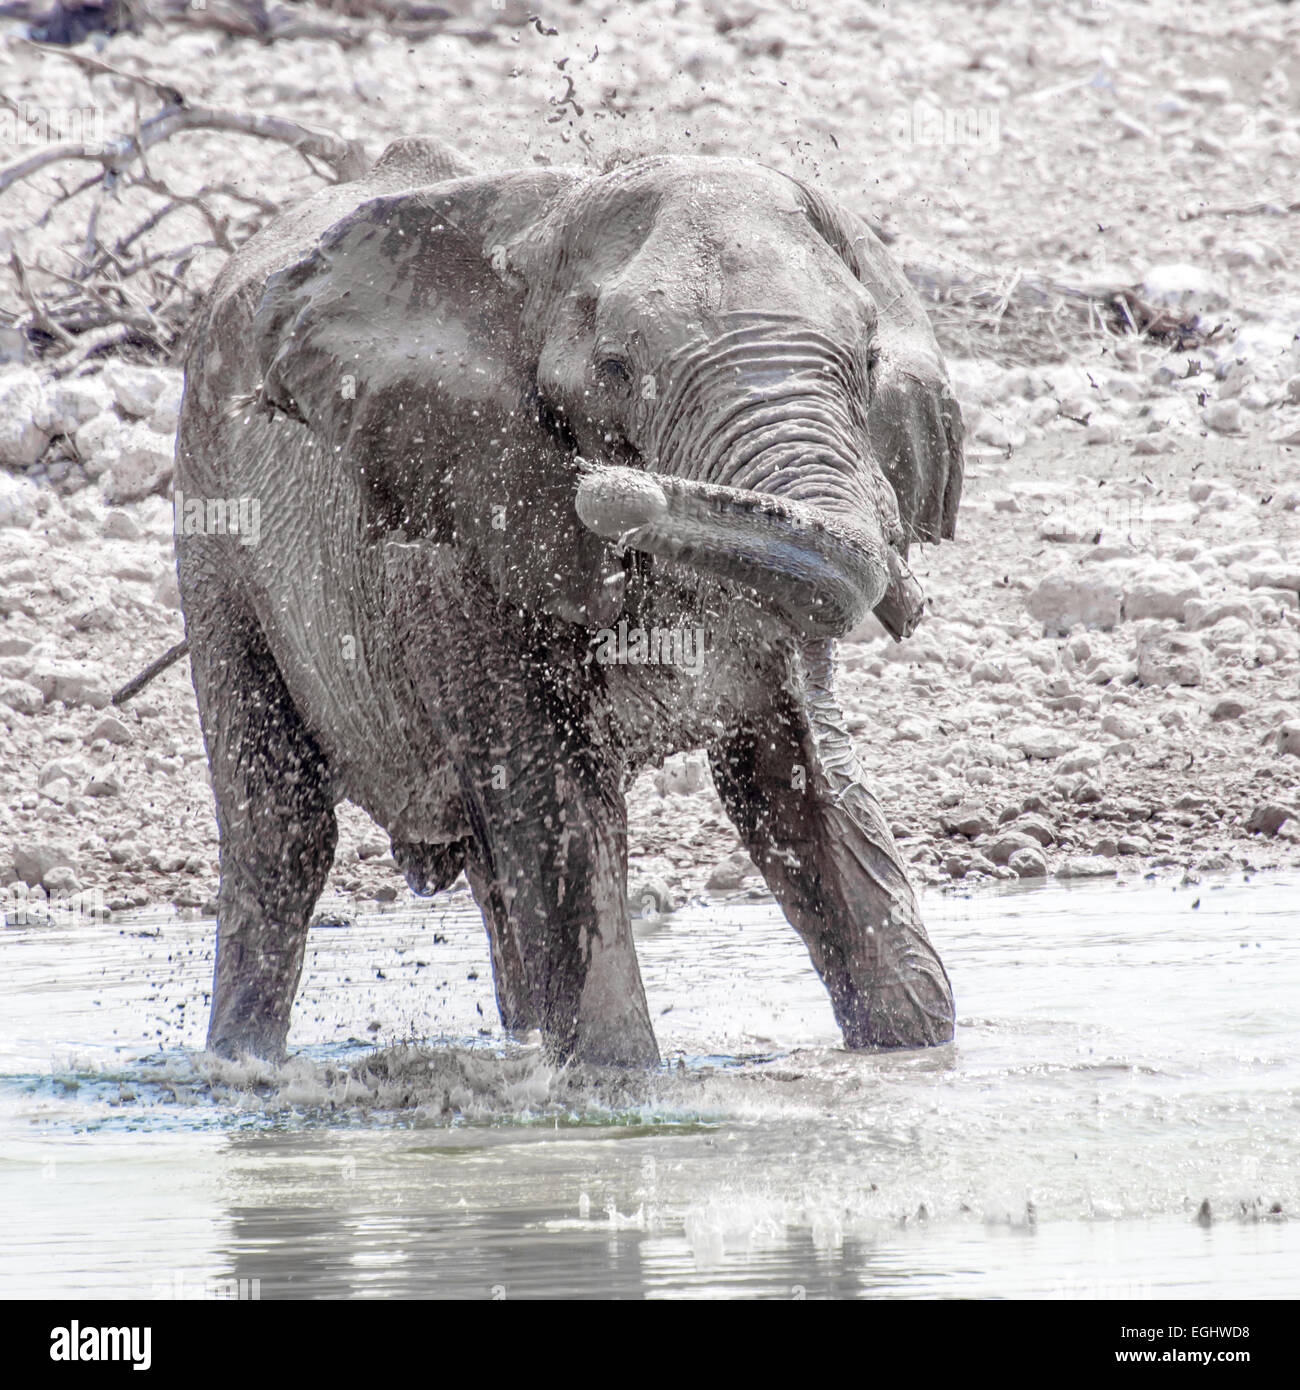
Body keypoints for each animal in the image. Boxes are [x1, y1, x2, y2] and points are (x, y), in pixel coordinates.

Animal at [173, 138, 962, 1061]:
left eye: (869, 359)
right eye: (615, 371)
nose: (613, 489)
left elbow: (793, 787)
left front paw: (916, 1048)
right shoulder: (464, 539)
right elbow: (562, 809)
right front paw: (615, 1079)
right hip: (212, 530)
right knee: (281, 835)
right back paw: (241, 1071)